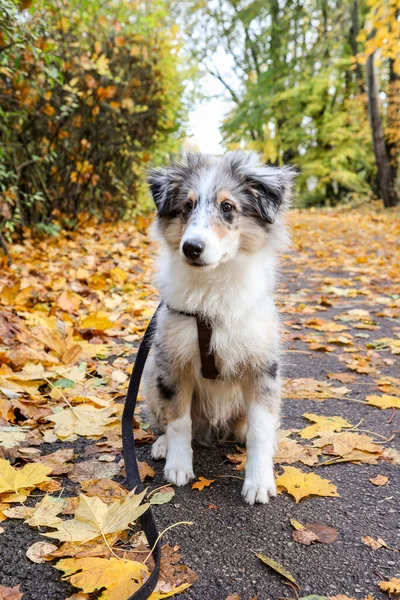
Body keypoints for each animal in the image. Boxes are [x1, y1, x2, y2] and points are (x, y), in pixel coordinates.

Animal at [142, 150, 292, 502]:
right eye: (186, 207)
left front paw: (259, 482)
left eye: (227, 207)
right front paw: (178, 465)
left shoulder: (263, 367)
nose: (191, 248)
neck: (213, 291)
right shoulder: (173, 361)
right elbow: (178, 421)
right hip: (151, 377)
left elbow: (260, 431)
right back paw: (163, 444)